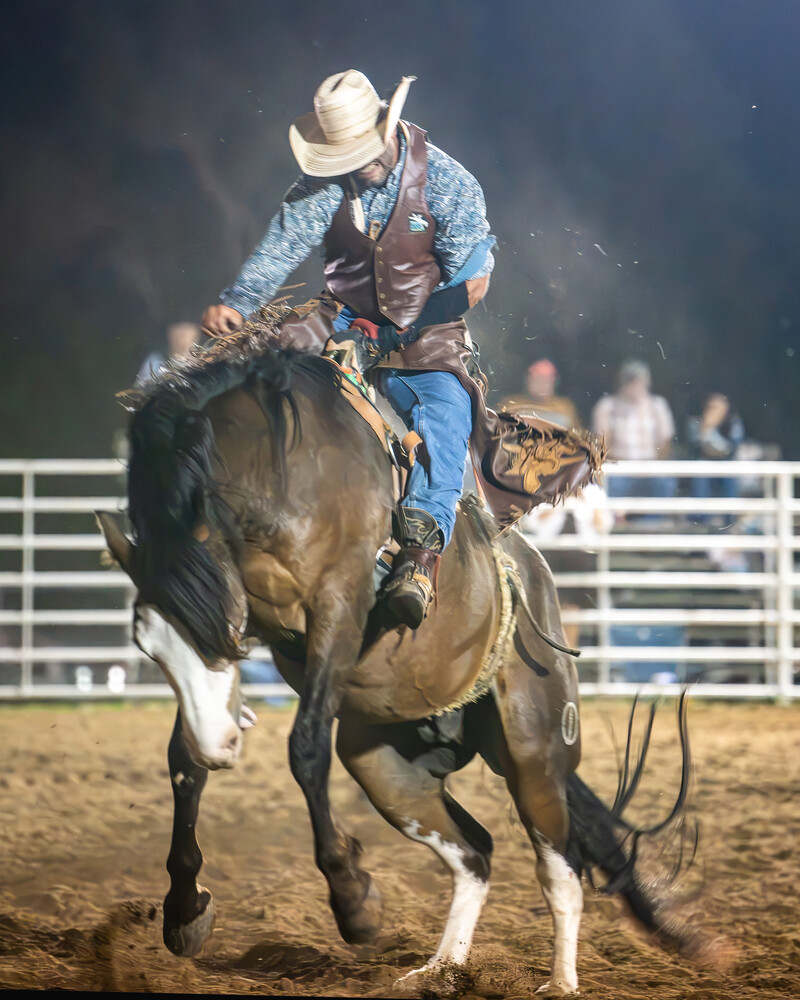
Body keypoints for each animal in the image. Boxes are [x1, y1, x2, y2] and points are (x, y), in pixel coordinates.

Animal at [97, 315, 701, 995]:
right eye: (149, 646)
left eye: (225, 630)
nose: (222, 747)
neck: (284, 470)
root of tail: (534, 576)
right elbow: (182, 761)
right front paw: (183, 911)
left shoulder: (338, 606)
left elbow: (304, 748)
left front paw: (353, 900)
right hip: (385, 766)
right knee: (475, 852)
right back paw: (440, 969)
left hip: (535, 752)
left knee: (559, 866)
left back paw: (560, 982)